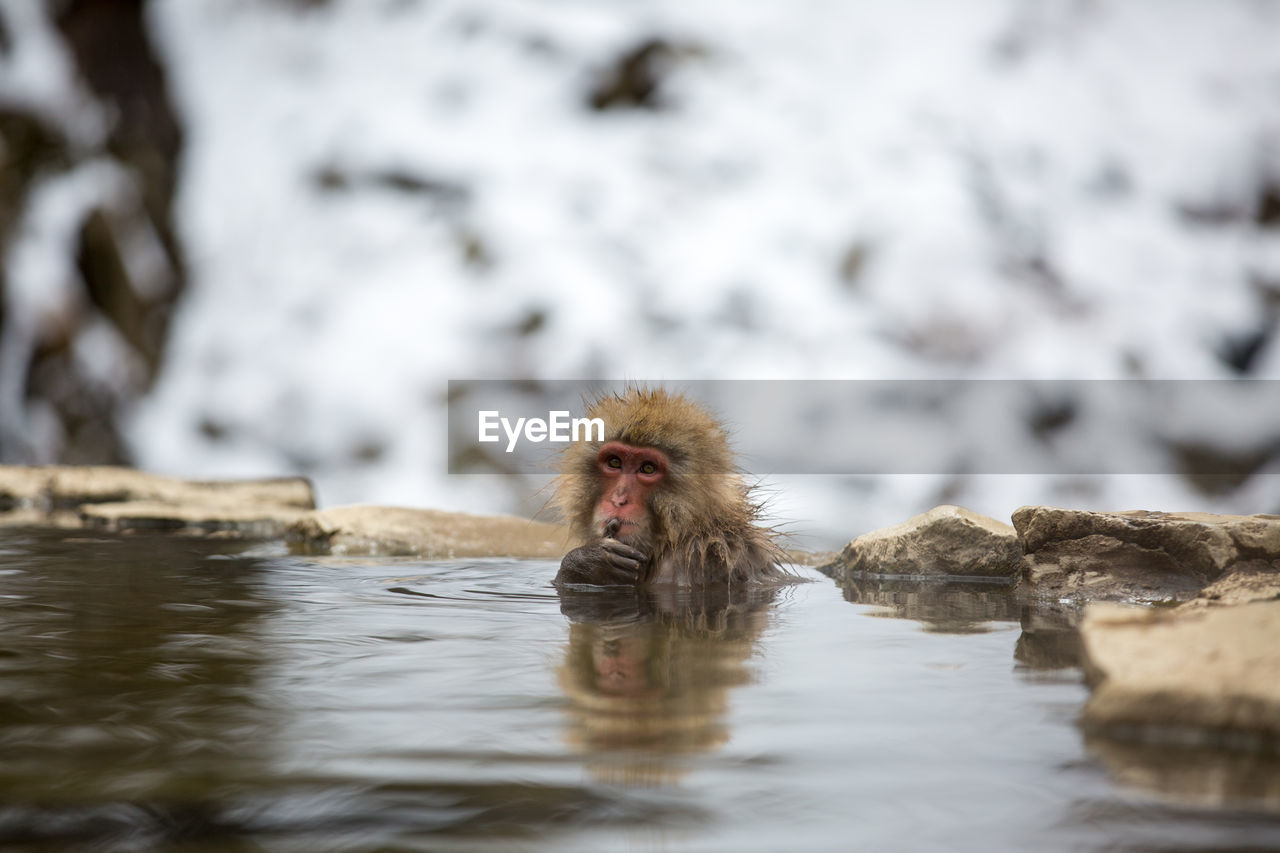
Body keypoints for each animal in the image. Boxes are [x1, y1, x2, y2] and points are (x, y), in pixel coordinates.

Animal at [552, 389, 783, 589]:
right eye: (615, 462)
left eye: (648, 468)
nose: (618, 500)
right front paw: (588, 562)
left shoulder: (694, 561)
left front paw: (589, 565)